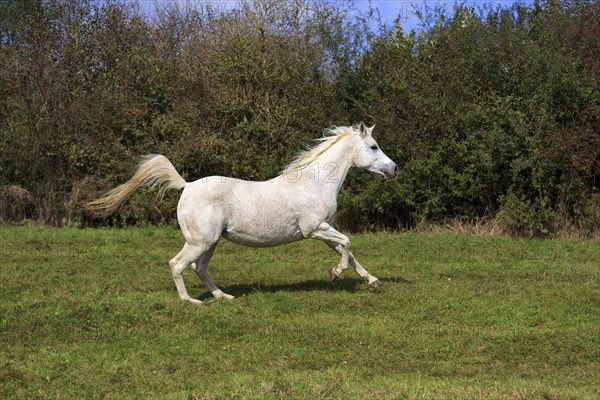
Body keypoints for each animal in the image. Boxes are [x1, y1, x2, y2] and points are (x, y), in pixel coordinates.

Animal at [88, 123, 398, 304]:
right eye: (373, 147)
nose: (394, 169)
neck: (314, 182)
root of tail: (186, 186)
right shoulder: (314, 229)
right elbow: (348, 244)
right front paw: (334, 274)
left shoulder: (325, 230)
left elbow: (348, 251)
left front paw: (373, 281)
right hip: (200, 241)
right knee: (177, 265)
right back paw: (191, 302)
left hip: (210, 242)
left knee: (199, 268)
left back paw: (224, 296)